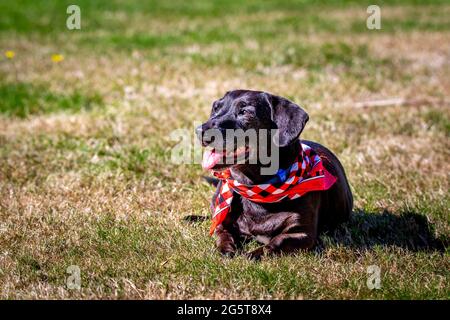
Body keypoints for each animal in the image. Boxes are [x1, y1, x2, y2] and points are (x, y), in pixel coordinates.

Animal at [195, 90, 354, 260]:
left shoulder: (302, 234)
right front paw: (226, 251)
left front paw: (251, 255)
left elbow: (274, 243)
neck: (256, 188)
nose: (199, 131)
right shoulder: (222, 223)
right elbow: (223, 235)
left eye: (244, 112)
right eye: (216, 108)